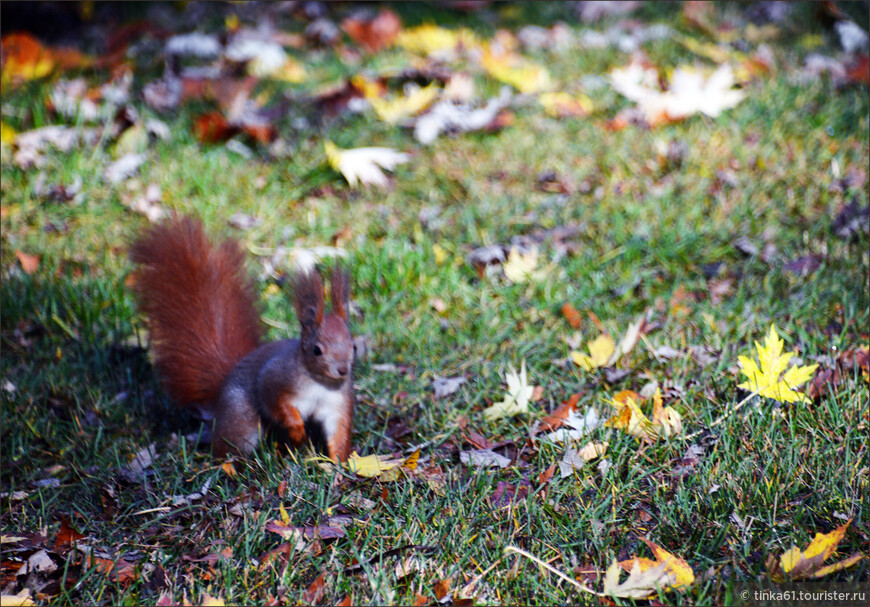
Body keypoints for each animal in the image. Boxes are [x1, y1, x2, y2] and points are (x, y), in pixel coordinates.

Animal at [129, 216, 354, 458]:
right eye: (317, 350)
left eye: (354, 347)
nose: (343, 370)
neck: (320, 382)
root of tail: (222, 386)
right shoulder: (276, 377)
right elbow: (274, 400)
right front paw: (297, 429)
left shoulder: (337, 404)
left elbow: (339, 432)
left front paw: (340, 464)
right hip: (241, 416)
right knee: (228, 444)